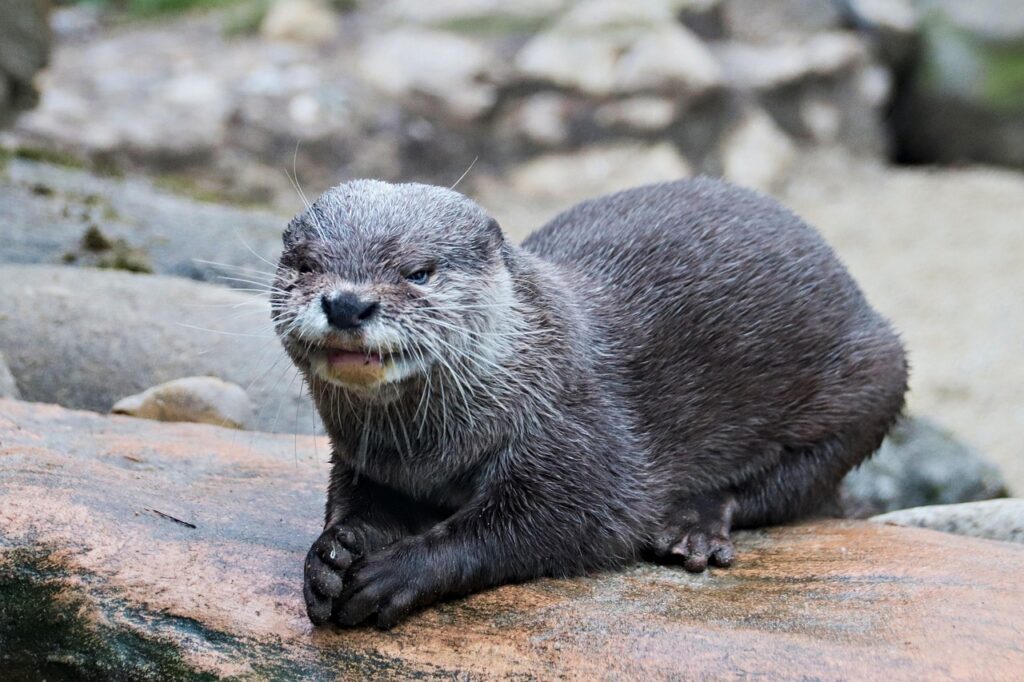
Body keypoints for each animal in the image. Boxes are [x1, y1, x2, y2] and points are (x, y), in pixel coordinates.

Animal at [271, 178, 907, 628]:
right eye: (305, 264)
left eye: (418, 272)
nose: (347, 302)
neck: (429, 453)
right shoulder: (362, 457)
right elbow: (354, 504)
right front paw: (333, 555)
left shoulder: (577, 433)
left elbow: (552, 526)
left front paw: (397, 571)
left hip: (876, 378)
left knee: (790, 485)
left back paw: (693, 526)